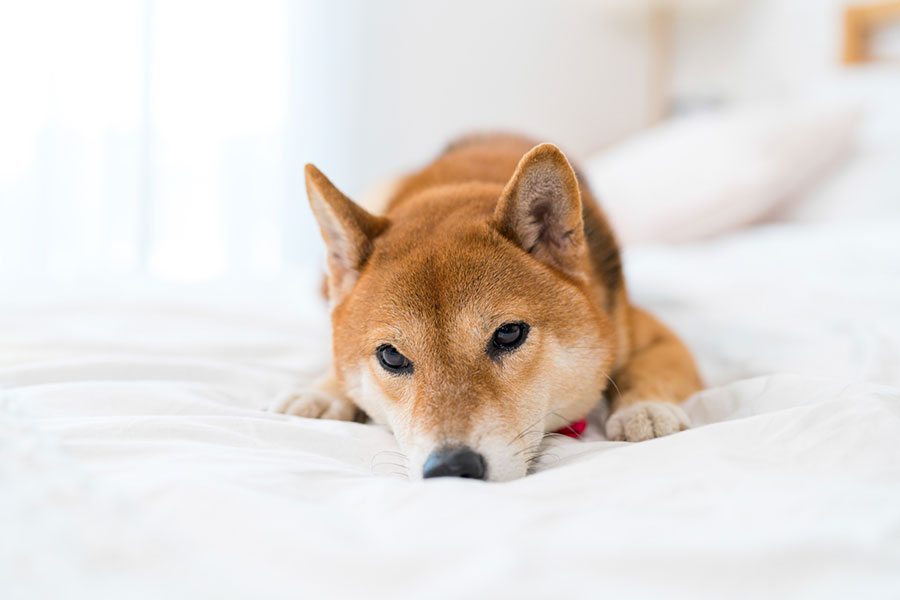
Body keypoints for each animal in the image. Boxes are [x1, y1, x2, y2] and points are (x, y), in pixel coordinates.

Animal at [270, 134, 708, 480]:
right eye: (391, 356)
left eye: (509, 334)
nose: (451, 469)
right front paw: (323, 392)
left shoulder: (652, 333)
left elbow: (650, 367)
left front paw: (646, 408)